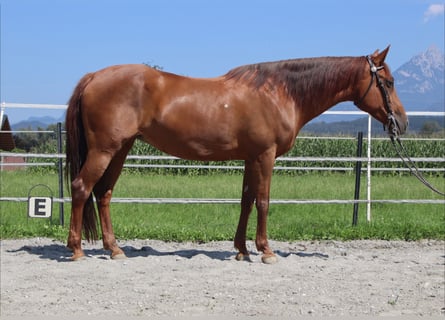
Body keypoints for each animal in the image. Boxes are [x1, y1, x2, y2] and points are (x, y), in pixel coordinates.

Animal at [65, 47, 406, 262]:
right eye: (388, 82)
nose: (401, 122)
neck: (278, 93)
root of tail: (94, 76)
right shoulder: (265, 156)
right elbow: (264, 201)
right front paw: (266, 251)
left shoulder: (250, 158)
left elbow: (246, 201)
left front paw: (242, 249)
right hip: (104, 150)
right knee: (81, 188)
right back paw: (77, 250)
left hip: (120, 150)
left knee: (103, 193)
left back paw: (114, 249)